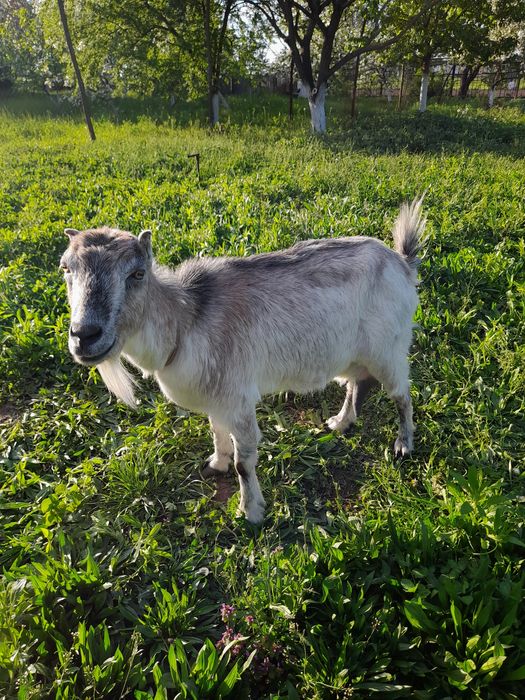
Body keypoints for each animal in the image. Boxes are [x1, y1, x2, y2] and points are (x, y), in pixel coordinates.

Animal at [61, 198, 425, 524]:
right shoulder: (216, 397)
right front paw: (215, 463)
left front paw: (251, 512)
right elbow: (216, 432)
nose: (84, 335)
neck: (186, 320)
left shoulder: (237, 399)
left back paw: (403, 445)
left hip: (389, 349)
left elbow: (244, 461)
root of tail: (403, 262)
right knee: (357, 383)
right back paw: (340, 422)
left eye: (137, 273)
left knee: (402, 395)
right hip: (353, 353)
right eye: (66, 269)